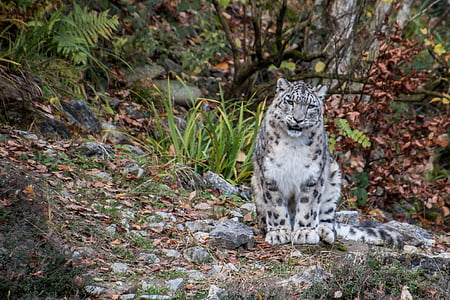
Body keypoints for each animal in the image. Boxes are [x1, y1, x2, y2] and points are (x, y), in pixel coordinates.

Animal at [251, 78, 402, 246]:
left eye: (310, 106)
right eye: (290, 101)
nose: (298, 119)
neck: (293, 144)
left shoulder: (313, 176)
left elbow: (308, 206)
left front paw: (305, 232)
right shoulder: (270, 175)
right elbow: (275, 207)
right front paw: (279, 232)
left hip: (334, 179)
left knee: (328, 218)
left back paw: (324, 231)